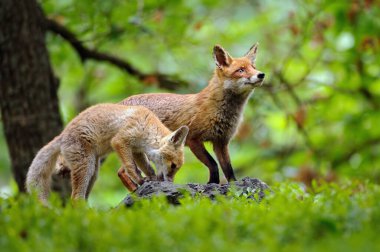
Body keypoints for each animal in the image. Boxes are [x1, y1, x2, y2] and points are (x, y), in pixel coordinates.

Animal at [25, 103, 189, 204]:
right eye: (173, 166)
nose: (170, 183)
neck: (146, 126)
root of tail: (62, 135)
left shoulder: (136, 150)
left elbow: (147, 167)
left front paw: (150, 178)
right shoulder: (120, 141)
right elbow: (130, 166)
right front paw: (139, 180)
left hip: (93, 171)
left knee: (81, 197)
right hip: (86, 166)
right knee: (75, 198)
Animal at [121, 42, 264, 183]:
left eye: (254, 67)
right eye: (241, 70)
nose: (261, 74)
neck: (220, 110)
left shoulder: (221, 142)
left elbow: (228, 169)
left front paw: (233, 185)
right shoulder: (193, 139)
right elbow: (213, 164)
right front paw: (212, 182)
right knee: (123, 172)